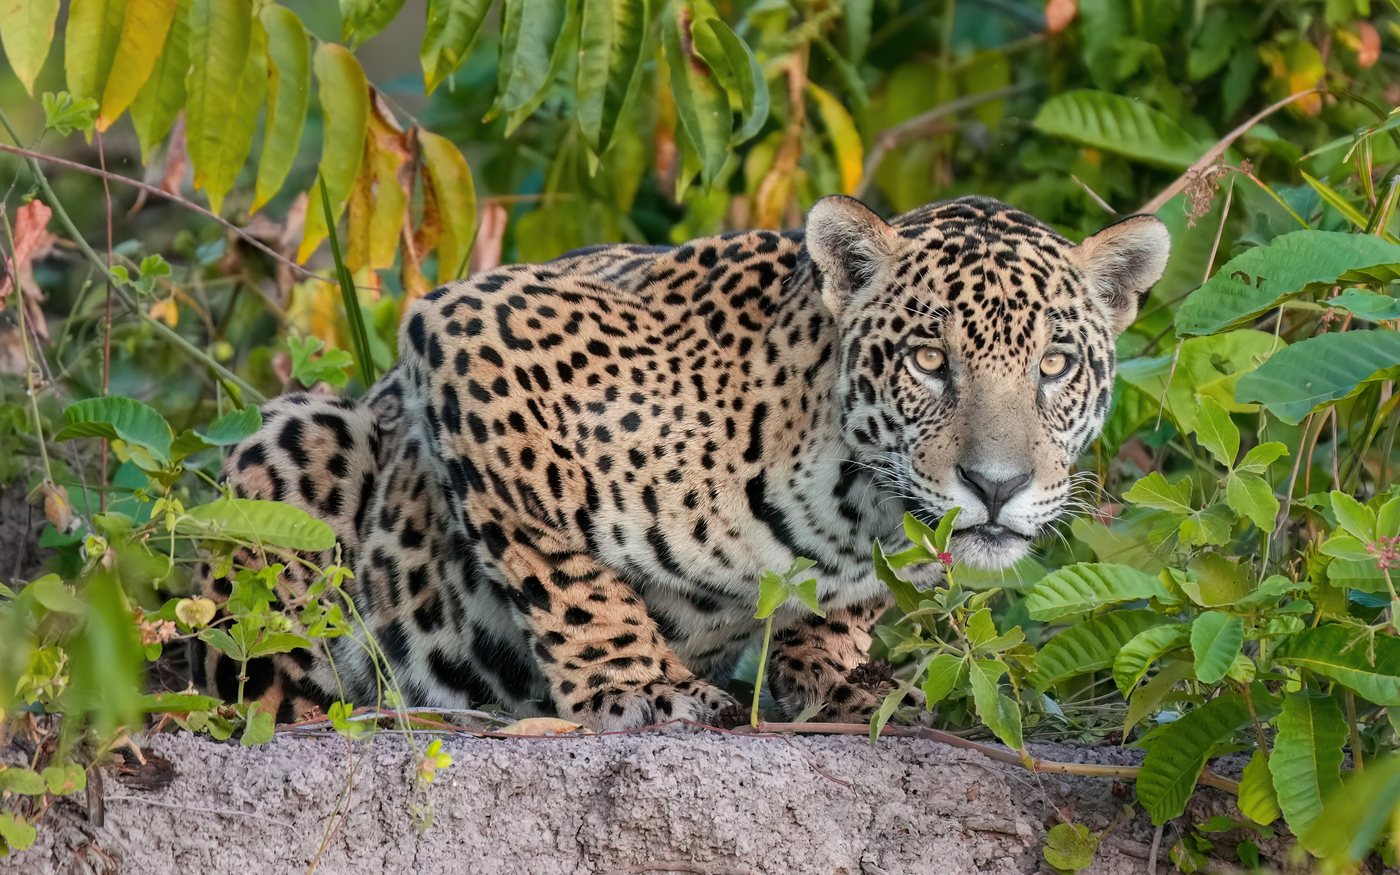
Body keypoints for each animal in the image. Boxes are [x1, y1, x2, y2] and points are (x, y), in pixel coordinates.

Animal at [194, 194, 1170, 731]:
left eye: (1056, 365)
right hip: (298, 436)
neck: (852, 501)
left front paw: (837, 670)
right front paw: (637, 685)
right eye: (930, 359)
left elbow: (845, 613)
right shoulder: (474, 328)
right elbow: (559, 566)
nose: (997, 486)